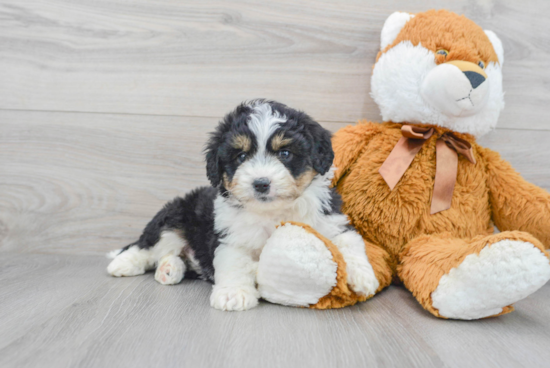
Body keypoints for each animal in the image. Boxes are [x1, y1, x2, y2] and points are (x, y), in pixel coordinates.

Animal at [106, 100, 380, 310]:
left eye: (285, 153)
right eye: (241, 156)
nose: (261, 183)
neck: (272, 212)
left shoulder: (331, 220)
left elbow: (349, 242)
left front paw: (363, 276)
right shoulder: (232, 237)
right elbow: (234, 263)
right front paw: (234, 294)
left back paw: (169, 269)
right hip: (173, 218)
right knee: (147, 246)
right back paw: (123, 264)